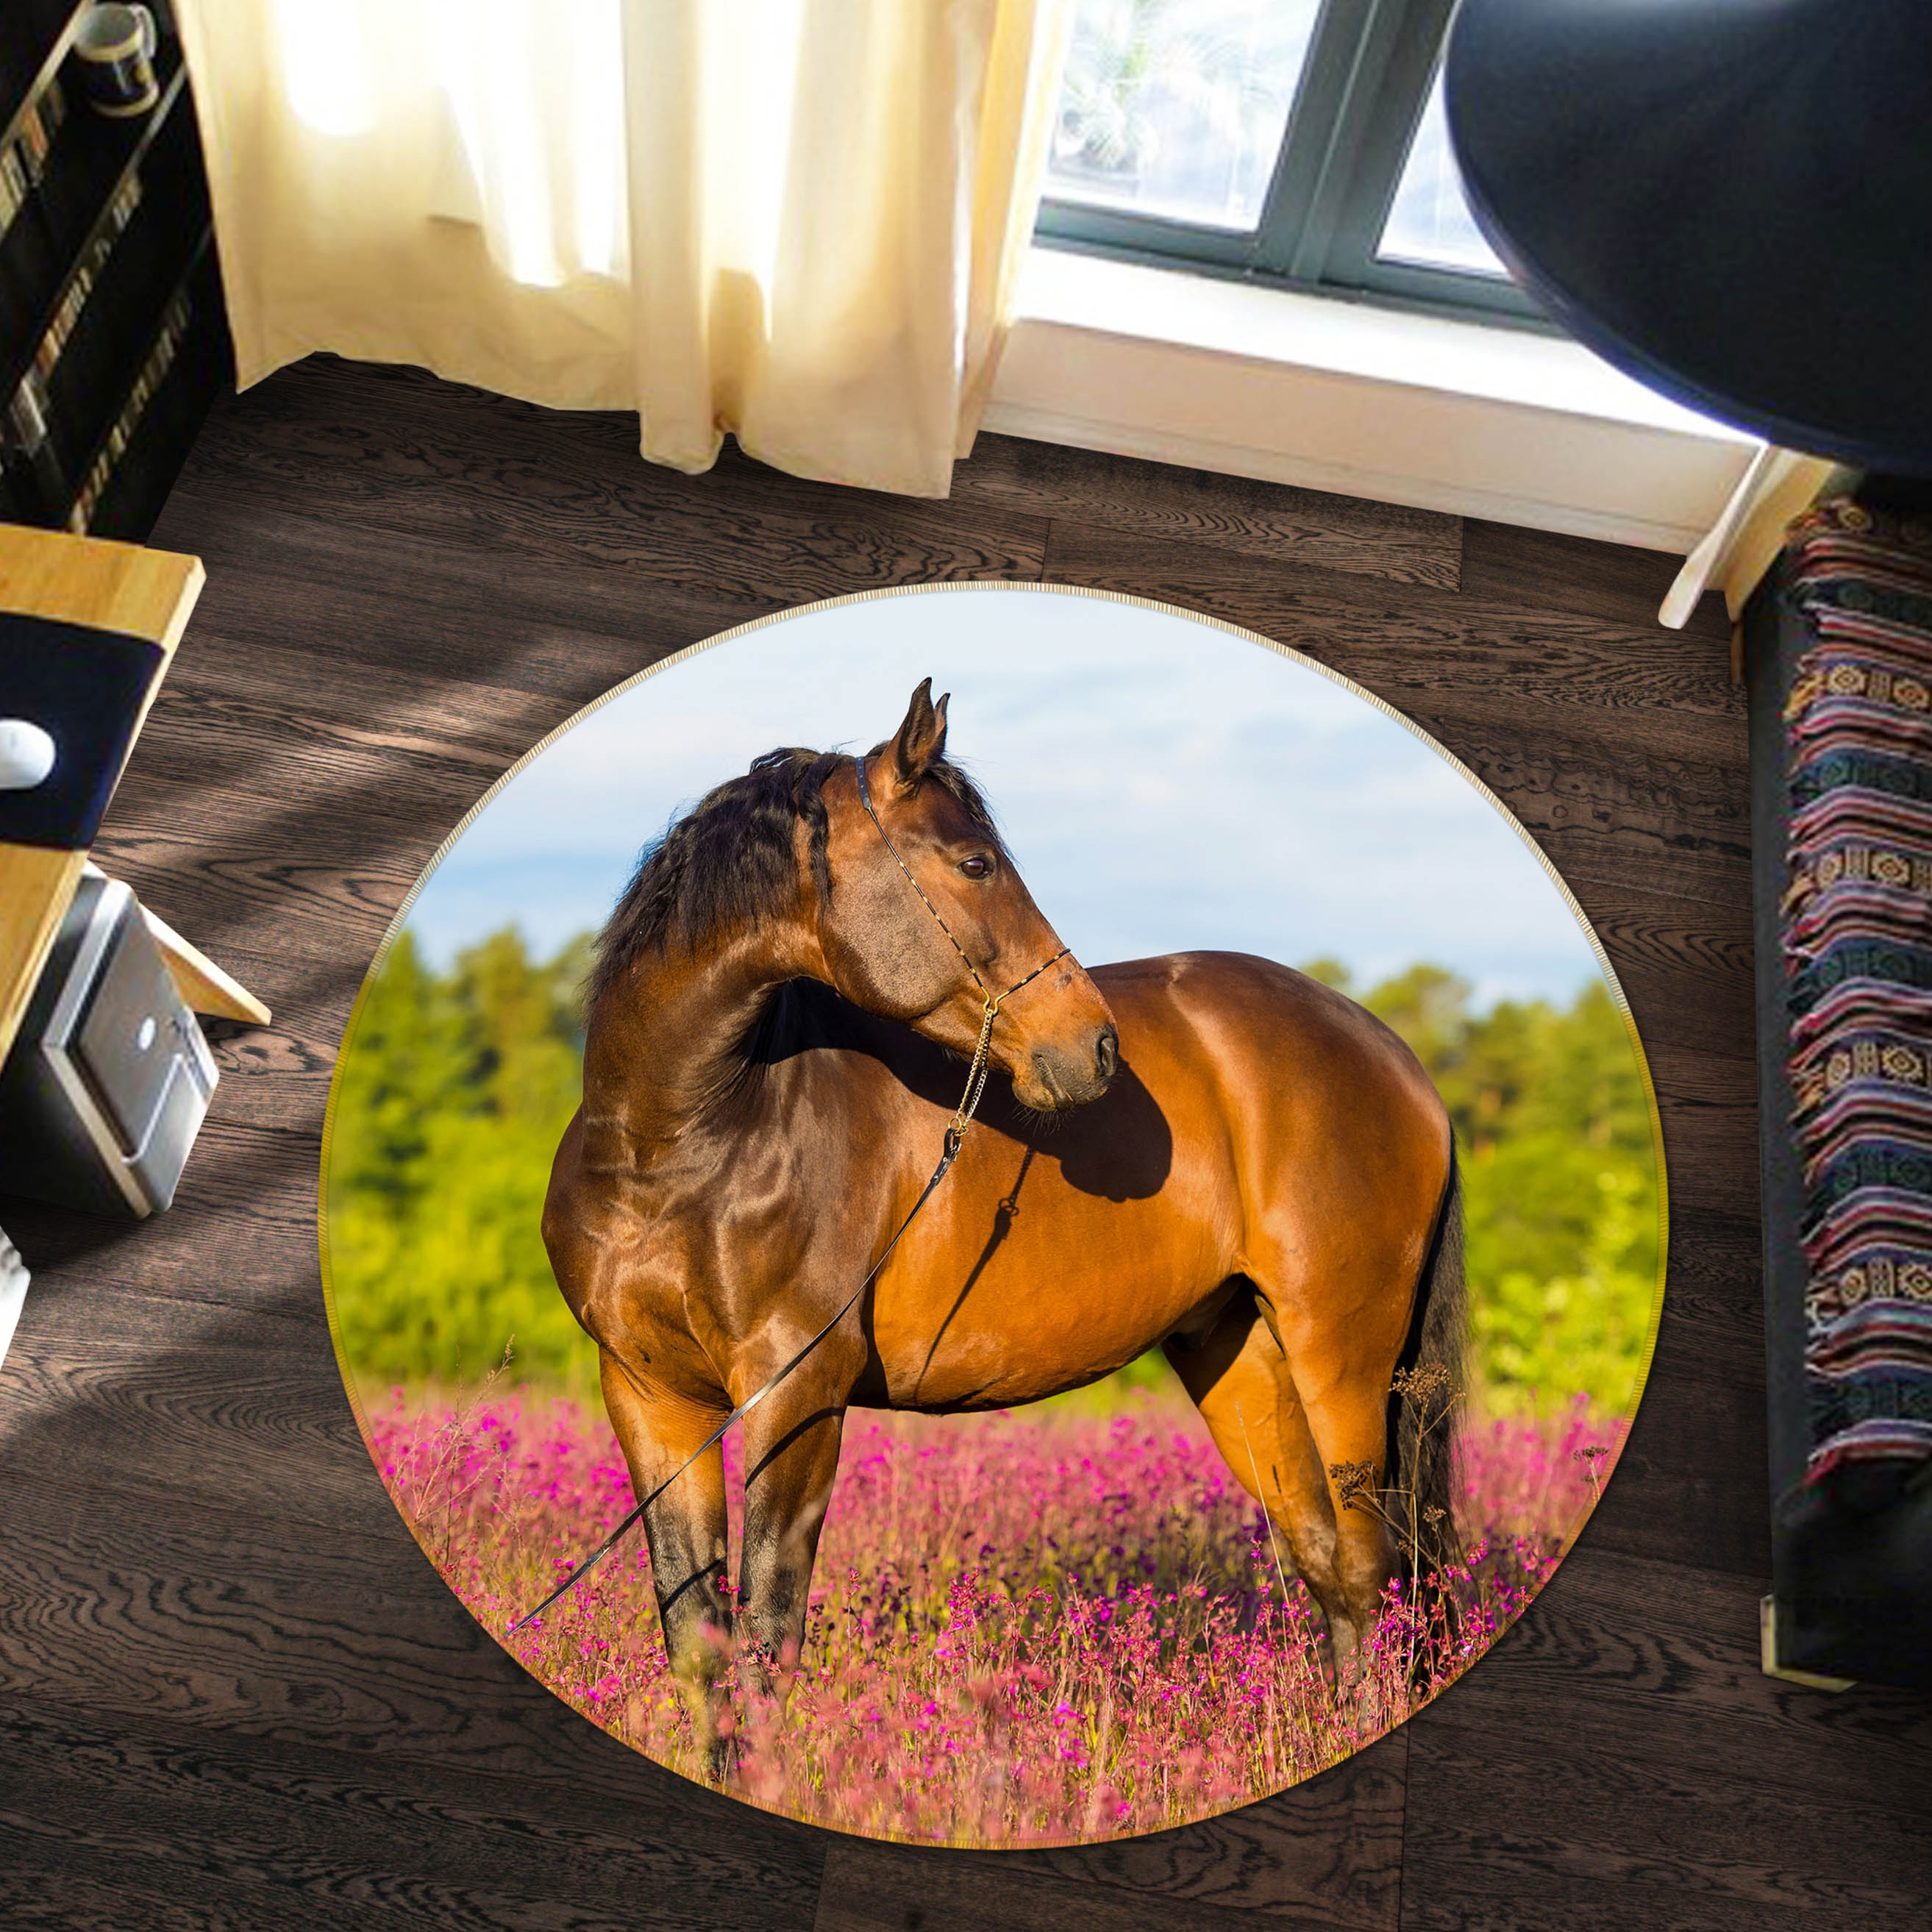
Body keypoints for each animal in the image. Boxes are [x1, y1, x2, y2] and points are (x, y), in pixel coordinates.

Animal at [542, 678, 1464, 1773]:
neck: (683, 1137)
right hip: (1239, 1356)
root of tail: (1391, 1054)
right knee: (1332, 1571)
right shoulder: (650, 1399)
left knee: (1374, 1571)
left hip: (1342, 1358)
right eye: (975, 861)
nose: (1094, 1045)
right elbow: (699, 1640)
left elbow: (767, 1632)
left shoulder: (795, 1394)